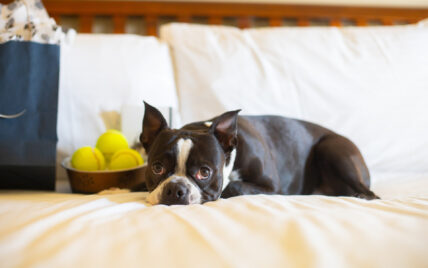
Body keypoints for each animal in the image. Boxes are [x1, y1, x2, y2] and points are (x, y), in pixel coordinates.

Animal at [141, 101, 378, 205]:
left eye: (204, 172)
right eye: (157, 168)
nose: (175, 189)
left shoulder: (273, 188)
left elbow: (234, 186)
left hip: (331, 149)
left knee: (371, 193)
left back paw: (361, 195)